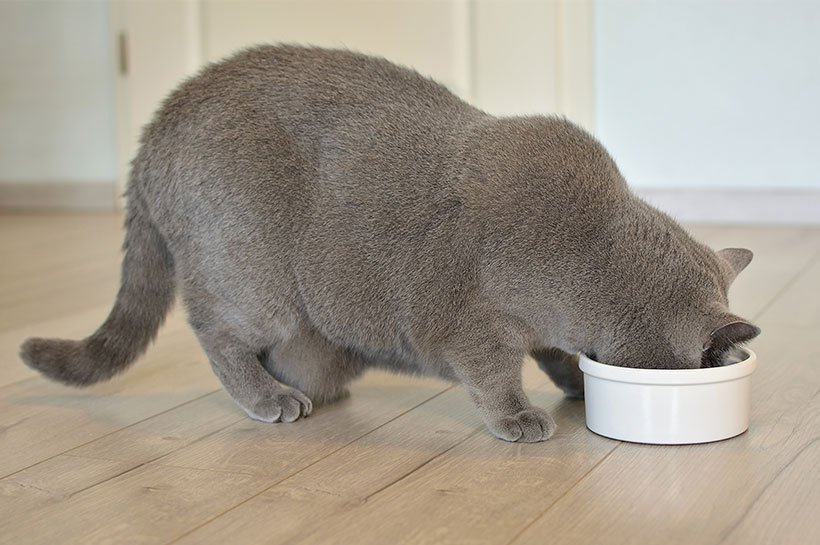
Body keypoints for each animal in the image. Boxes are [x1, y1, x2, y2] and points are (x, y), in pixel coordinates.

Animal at [20, 44, 764, 440]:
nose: (728, 359)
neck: (587, 249)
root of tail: (162, 118)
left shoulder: (548, 329)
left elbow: (555, 352)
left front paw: (574, 384)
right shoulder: (473, 325)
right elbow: (494, 375)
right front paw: (521, 419)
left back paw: (306, 388)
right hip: (252, 275)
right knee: (217, 330)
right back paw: (269, 398)